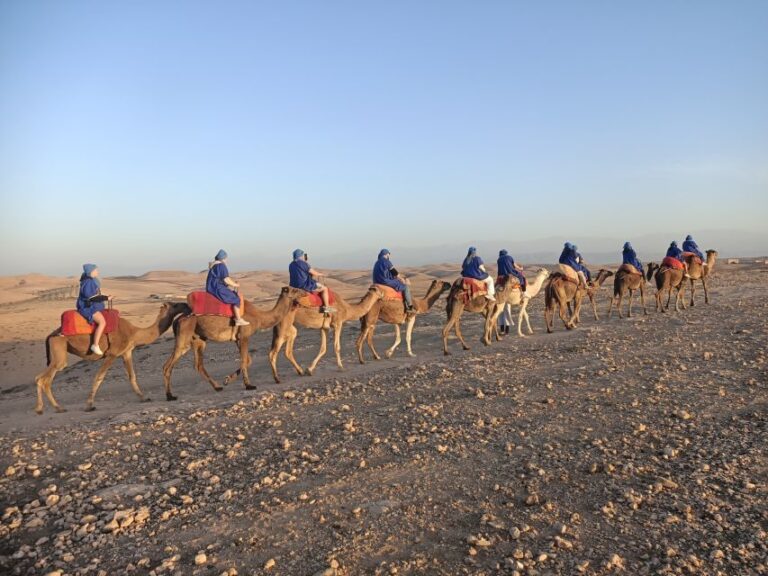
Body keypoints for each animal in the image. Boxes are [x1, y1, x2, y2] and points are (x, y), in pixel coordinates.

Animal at [35, 302, 192, 414]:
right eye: (175, 305)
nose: (186, 305)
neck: (135, 333)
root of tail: (51, 335)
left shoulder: (126, 352)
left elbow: (132, 376)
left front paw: (144, 398)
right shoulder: (112, 354)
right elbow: (99, 377)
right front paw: (89, 405)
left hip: (59, 351)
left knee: (42, 379)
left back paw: (49, 408)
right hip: (59, 348)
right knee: (43, 379)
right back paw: (50, 408)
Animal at [163, 288, 306, 400]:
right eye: (295, 290)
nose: (305, 292)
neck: (259, 317)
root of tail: (178, 319)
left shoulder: (238, 339)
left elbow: (247, 360)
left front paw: (227, 379)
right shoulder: (244, 336)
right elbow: (244, 360)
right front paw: (249, 385)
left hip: (198, 339)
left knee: (198, 365)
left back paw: (217, 387)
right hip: (184, 336)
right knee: (167, 365)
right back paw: (170, 396)